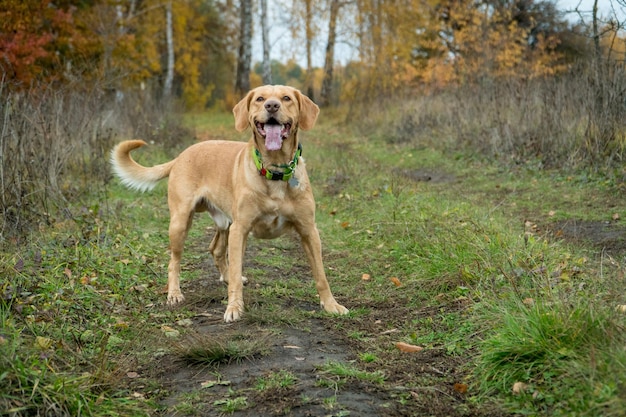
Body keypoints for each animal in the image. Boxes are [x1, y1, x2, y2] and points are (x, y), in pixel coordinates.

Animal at [110, 85, 348, 322]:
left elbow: (321, 274)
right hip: (181, 222)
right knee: (174, 261)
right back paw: (174, 294)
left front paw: (331, 304)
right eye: (260, 98)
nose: (271, 106)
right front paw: (234, 307)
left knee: (216, 250)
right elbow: (234, 273)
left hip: (225, 223)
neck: (275, 171)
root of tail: (180, 156)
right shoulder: (240, 229)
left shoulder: (309, 230)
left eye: (287, 98)